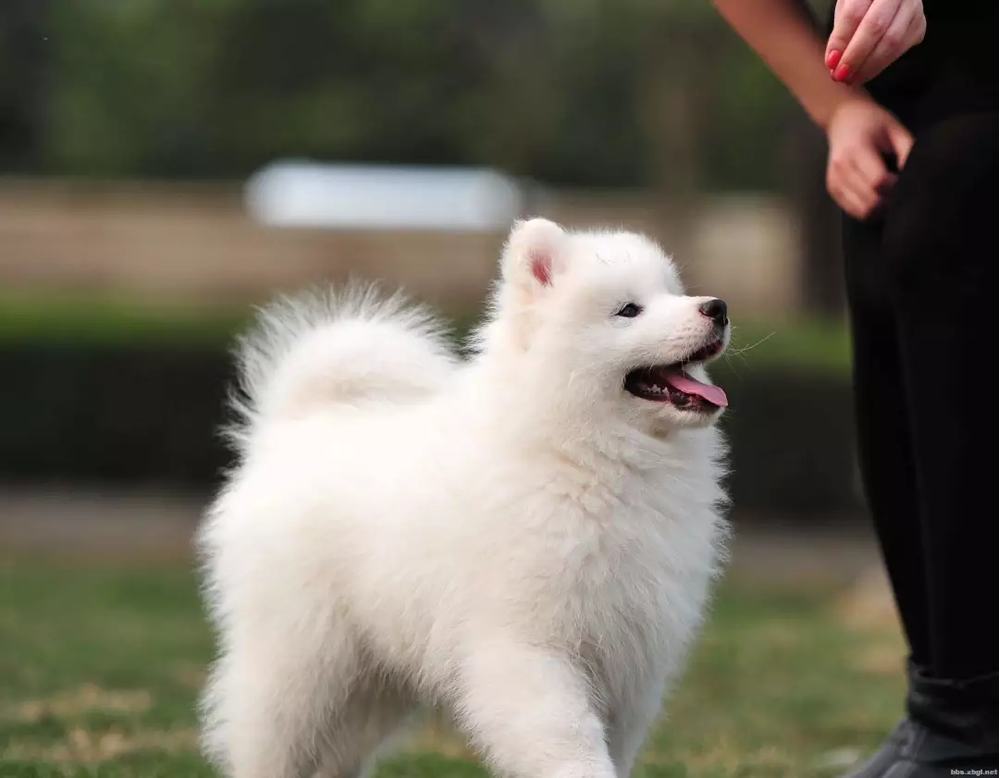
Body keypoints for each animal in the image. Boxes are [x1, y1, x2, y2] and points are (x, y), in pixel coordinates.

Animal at [199, 218, 732, 776]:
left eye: (673, 292)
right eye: (629, 310)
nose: (717, 307)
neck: (583, 456)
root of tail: (295, 426)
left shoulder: (630, 664)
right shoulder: (527, 646)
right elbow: (568, 741)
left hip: (371, 681)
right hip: (300, 661)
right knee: (264, 740)